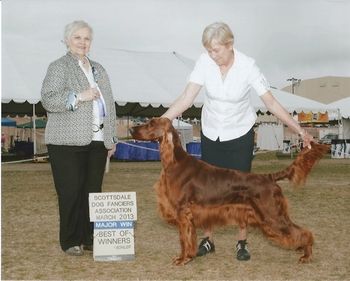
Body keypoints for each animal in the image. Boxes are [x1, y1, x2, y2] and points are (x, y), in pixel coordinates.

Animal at [130, 116, 330, 264]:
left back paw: (306, 255)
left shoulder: (182, 212)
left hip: (272, 215)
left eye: (151, 123)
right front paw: (190, 256)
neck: (175, 162)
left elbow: (183, 239)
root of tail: (269, 177)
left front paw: (183, 259)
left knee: (303, 232)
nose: (131, 130)